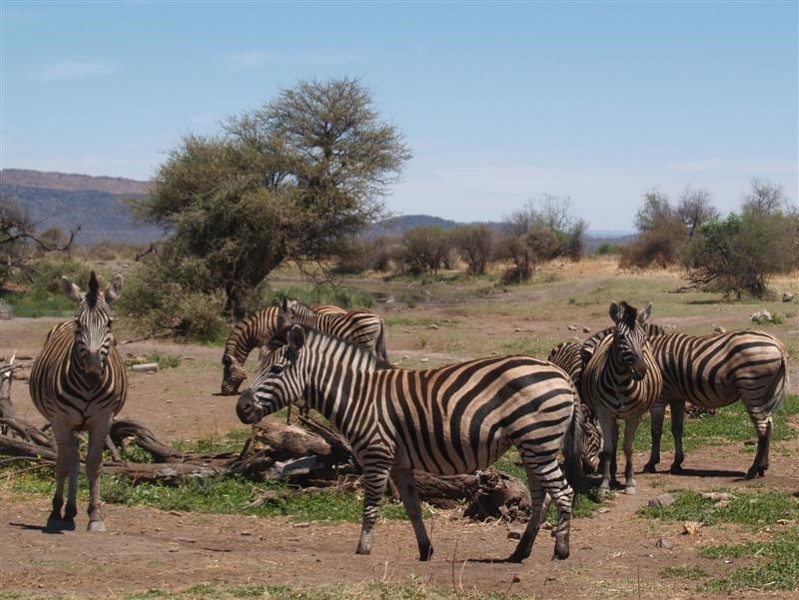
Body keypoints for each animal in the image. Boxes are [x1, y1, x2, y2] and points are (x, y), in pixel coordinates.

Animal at [28, 272, 126, 528]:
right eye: (79, 324)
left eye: (110, 323)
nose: (92, 373)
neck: (88, 388)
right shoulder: (60, 420)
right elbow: (62, 463)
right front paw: (54, 512)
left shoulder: (102, 420)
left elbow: (94, 464)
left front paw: (95, 515)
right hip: (67, 423)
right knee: (71, 458)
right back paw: (67, 509)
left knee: (77, 458)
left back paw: (72, 509)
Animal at [236, 326, 580, 560]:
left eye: (276, 369)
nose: (242, 408)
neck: (359, 396)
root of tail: (561, 373)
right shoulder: (400, 464)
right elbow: (413, 508)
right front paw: (425, 550)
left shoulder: (376, 454)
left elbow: (370, 506)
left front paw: (363, 549)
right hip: (534, 445)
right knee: (542, 497)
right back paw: (521, 552)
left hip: (538, 442)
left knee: (564, 492)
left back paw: (561, 551)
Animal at [580, 302, 664, 494]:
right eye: (622, 337)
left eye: (643, 338)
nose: (641, 371)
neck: (620, 382)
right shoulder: (603, 412)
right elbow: (608, 448)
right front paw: (605, 483)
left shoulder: (634, 416)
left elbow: (628, 448)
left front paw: (629, 481)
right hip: (611, 414)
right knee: (614, 436)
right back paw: (611, 472)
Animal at [640, 328, 792, 478]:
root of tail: (777, 344)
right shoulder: (677, 397)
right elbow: (677, 429)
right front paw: (677, 463)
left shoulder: (660, 396)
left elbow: (655, 431)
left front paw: (651, 463)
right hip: (768, 391)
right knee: (769, 424)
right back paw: (762, 466)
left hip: (752, 387)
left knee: (762, 426)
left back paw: (753, 470)